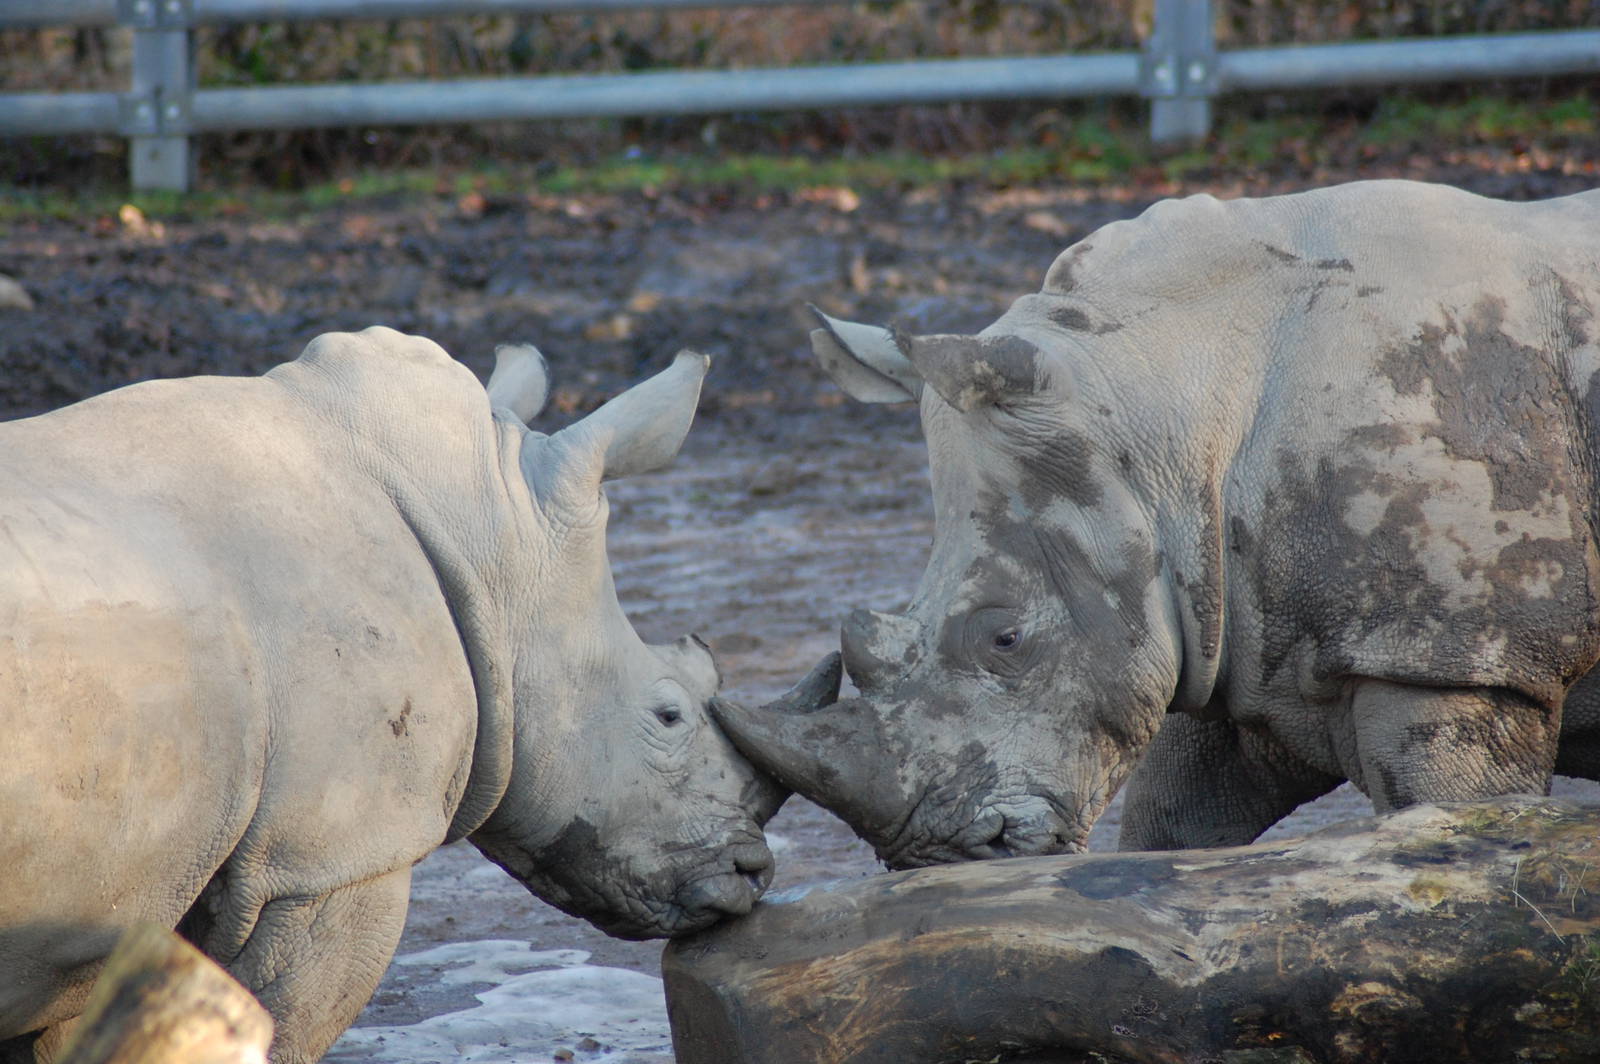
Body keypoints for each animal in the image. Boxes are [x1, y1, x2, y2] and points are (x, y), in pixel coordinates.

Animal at [0, 327, 826, 1063]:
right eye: (667, 714)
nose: (753, 874)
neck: (486, 533)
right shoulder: (331, 858)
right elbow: (281, 1029)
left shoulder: (115, 900)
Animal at [715, 179, 1600, 866]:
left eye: (1006, 639)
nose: (937, 852)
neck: (1164, 397)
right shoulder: (1233, 622)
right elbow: (1168, 825)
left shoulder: (1452, 654)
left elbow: (1450, 825)